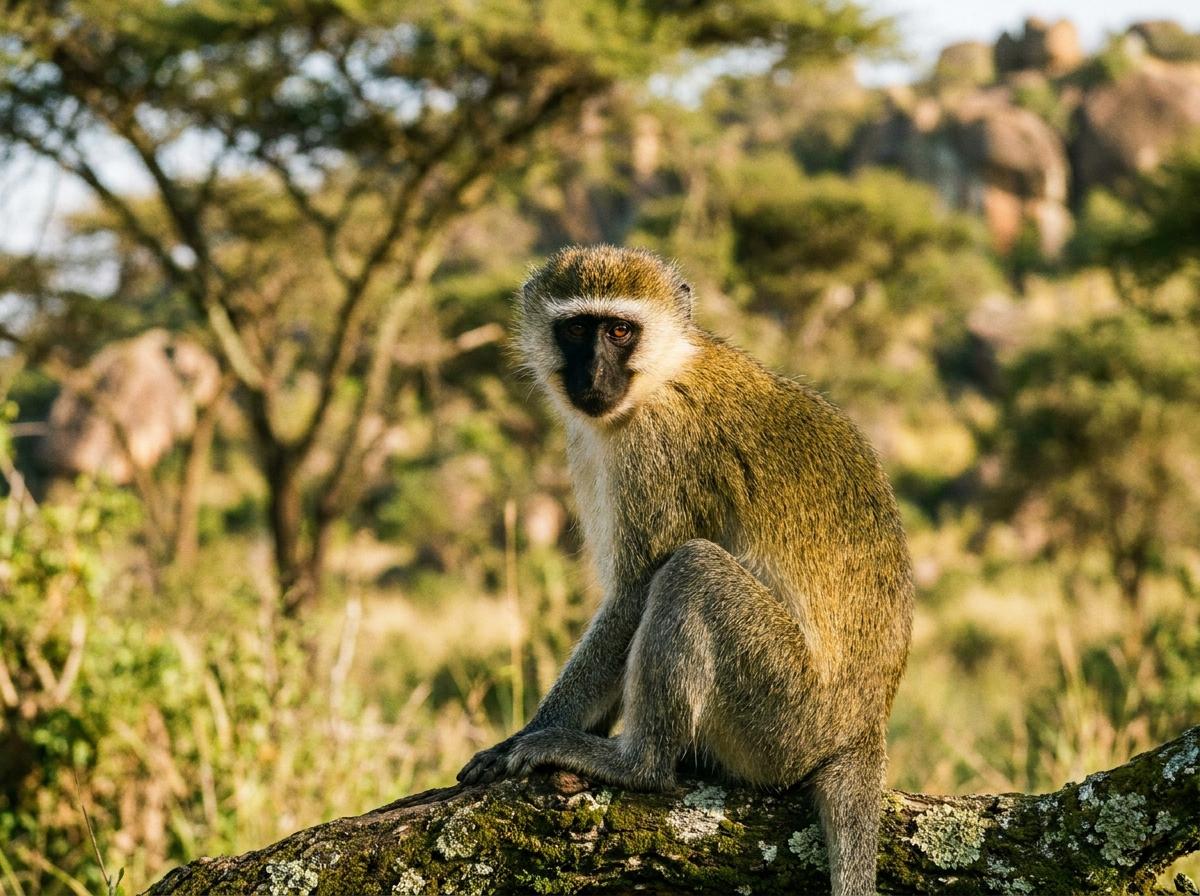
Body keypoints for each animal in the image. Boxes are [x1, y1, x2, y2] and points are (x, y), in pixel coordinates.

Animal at [457, 245, 913, 896]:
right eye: (577, 329)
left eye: (620, 332)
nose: (593, 377)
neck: (659, 376)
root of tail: (863, 730)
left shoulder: (659, 449)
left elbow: (633, 595)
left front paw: (523, 738)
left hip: (786, 714)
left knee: (690, 571)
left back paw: (637, 764)